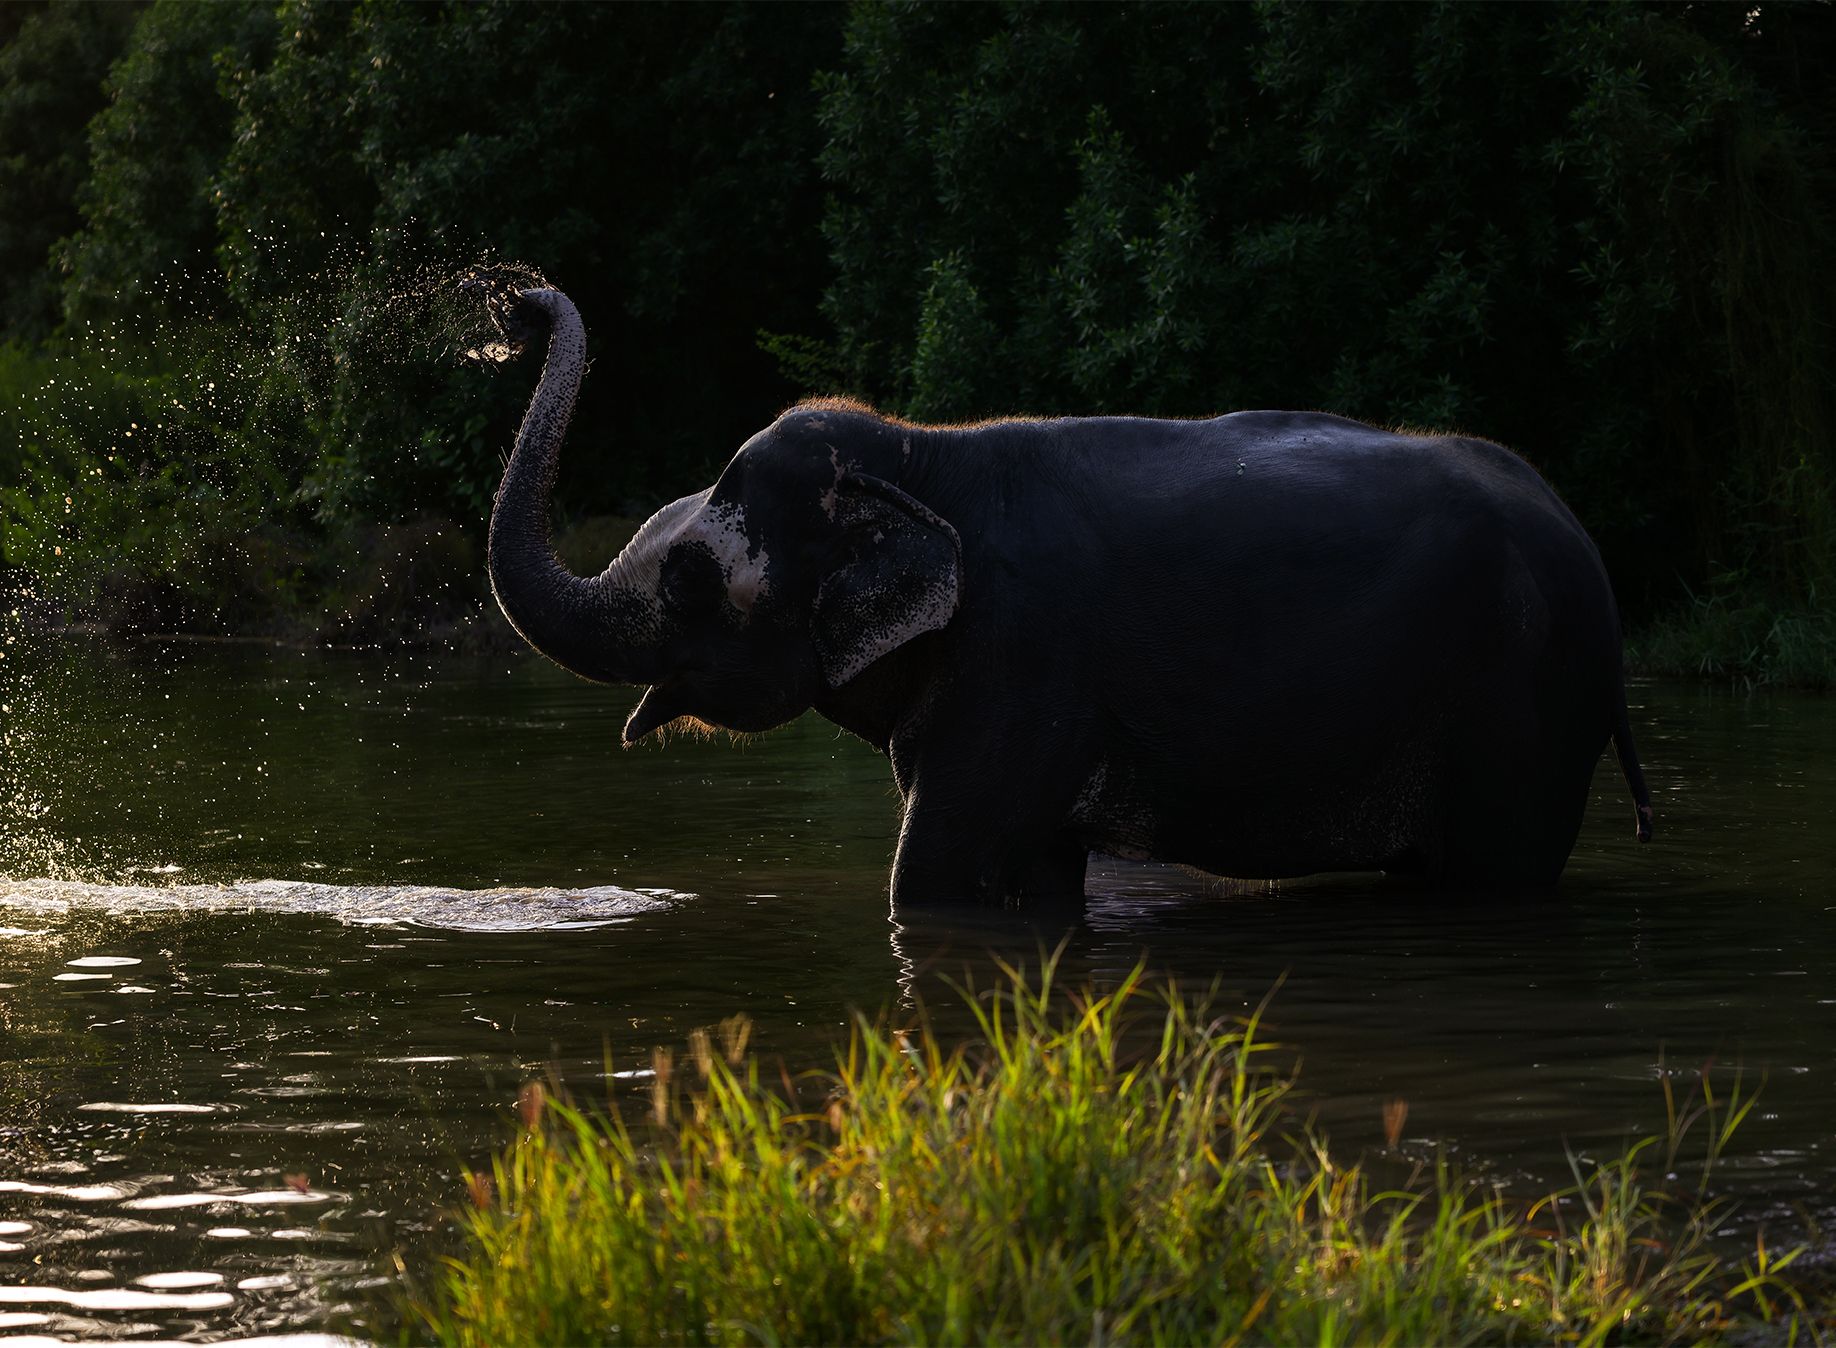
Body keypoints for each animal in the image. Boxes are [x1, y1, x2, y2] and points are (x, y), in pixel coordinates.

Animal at [478, 282, 1653, 906]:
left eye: (686, 580)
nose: (515, 302)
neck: (920, 455)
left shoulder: (1026, 653)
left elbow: (939, 876)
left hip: (1523, 707)